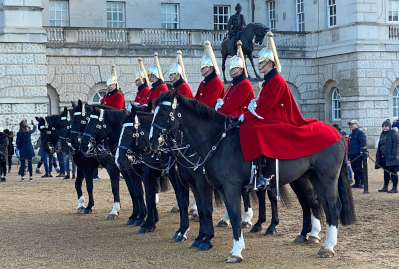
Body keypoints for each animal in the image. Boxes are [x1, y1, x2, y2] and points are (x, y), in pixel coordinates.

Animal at [149, 92, 356, 262]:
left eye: (164, 112)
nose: (152, 142)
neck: (218, 140)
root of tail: (337, 132)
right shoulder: (219, 188)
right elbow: (224, 214)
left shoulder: (224, 186)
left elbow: (228, 213)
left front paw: (233, 250)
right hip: (310, 178)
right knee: (317, 204)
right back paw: (312, 237)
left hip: (327, 178)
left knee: (332, 206)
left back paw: (327, 246)